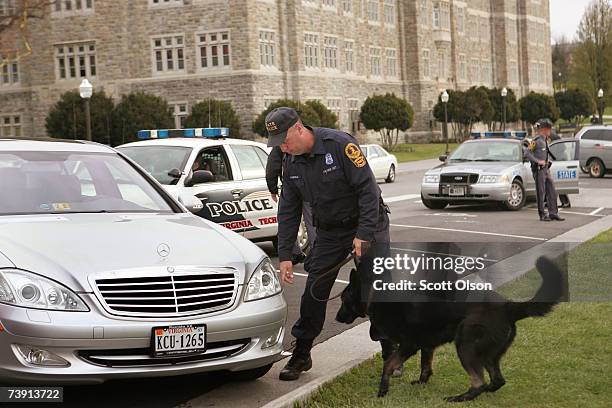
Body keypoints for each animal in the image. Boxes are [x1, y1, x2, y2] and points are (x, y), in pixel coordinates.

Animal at [334, 258, 564, 402]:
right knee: (497, 380)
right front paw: (421, 382)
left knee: (479, 381)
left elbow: (388, 364)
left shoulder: (409, 345)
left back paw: (461, 398)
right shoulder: (426, 345)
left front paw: (382, 390)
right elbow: (426, 367)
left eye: (343, 300)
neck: (374, 296)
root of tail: (507, 307)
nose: (336, 318)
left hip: (465, 346)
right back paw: (483, 392)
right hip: (487, 353)